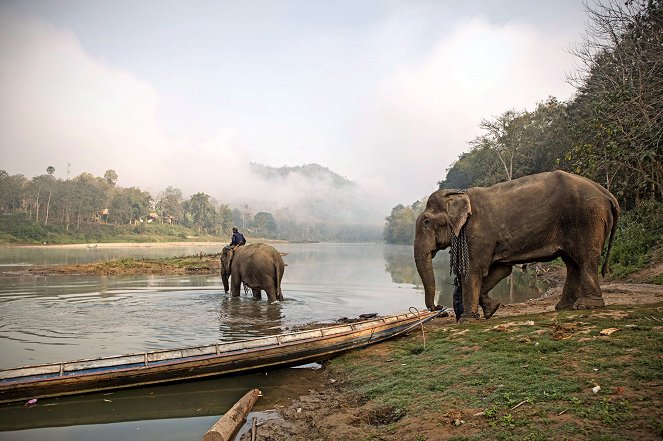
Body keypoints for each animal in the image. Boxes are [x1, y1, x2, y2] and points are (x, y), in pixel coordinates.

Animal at [416, 169, 624, 320]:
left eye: (426, 221)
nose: (439, 307)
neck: (460, 193)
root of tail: (606, 192)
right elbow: (501, 270)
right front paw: (492, 309)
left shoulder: (478, 234)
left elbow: (474, 270)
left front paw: (468, 320)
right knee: (572, 263)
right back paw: (563, 308)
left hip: (588, 219)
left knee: (586, 258)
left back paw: (586, 306)